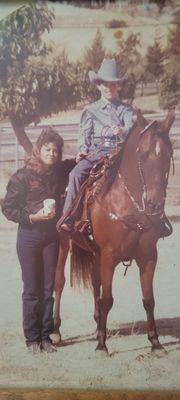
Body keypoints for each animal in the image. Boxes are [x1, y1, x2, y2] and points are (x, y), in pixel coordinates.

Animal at [51, 108, 174, 354]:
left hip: (94, 253)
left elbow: (148, 300)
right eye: (142, 154)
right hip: (63, 242)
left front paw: (155, 342)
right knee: (59, 282)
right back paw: (57, 331)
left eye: (169, 154)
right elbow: (107, 299)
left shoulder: (148, 256)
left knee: (94, 283)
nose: (154, 204)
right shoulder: (109, 255)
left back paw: (98, 322)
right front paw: (101, 345)